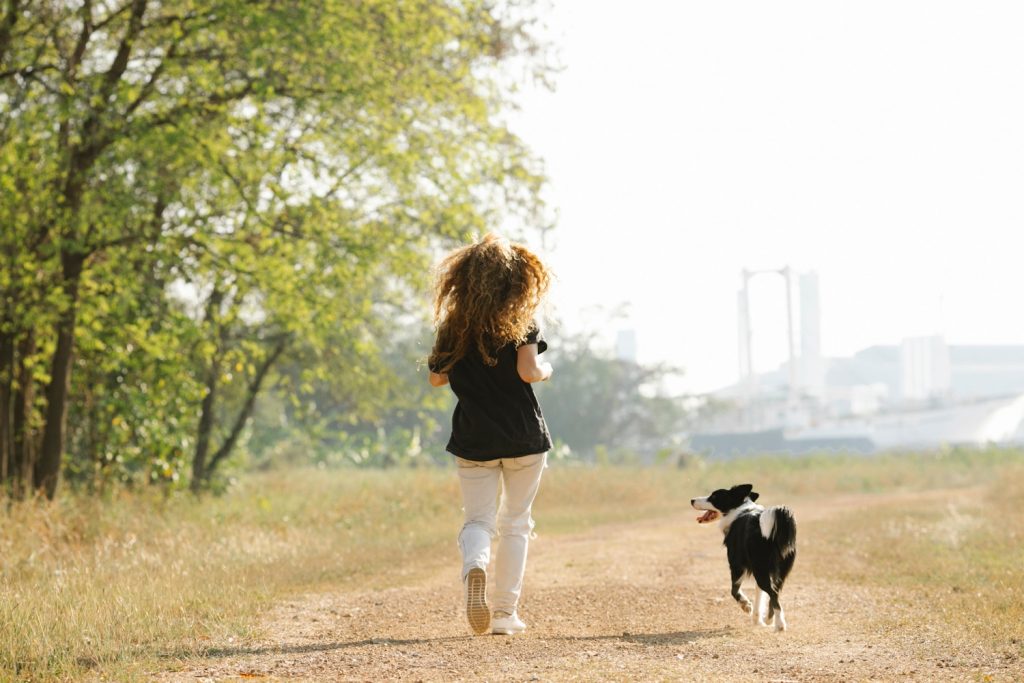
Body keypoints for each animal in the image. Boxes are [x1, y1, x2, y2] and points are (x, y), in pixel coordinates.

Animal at [692, 483, 794, 634]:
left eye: (714, 497)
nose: (691, 500)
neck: (739, 509)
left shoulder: (736, 566)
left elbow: (734, 591)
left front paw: (746, 606)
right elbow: (760, 595)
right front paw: (758, 619)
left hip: (760, 570)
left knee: (773, 593)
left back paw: (780, 625)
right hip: (778, 572)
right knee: (775, 592)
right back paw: (771, 619)